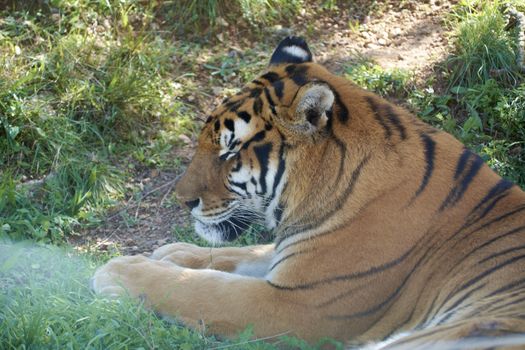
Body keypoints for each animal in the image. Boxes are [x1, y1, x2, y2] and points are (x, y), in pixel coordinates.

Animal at [92, 37, 524, 348]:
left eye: (229, 151)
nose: (183, 201)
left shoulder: (295, 304)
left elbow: (199, 290)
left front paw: (121, 269)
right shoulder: (292, 259)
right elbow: (240, 254)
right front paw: (173, 253)